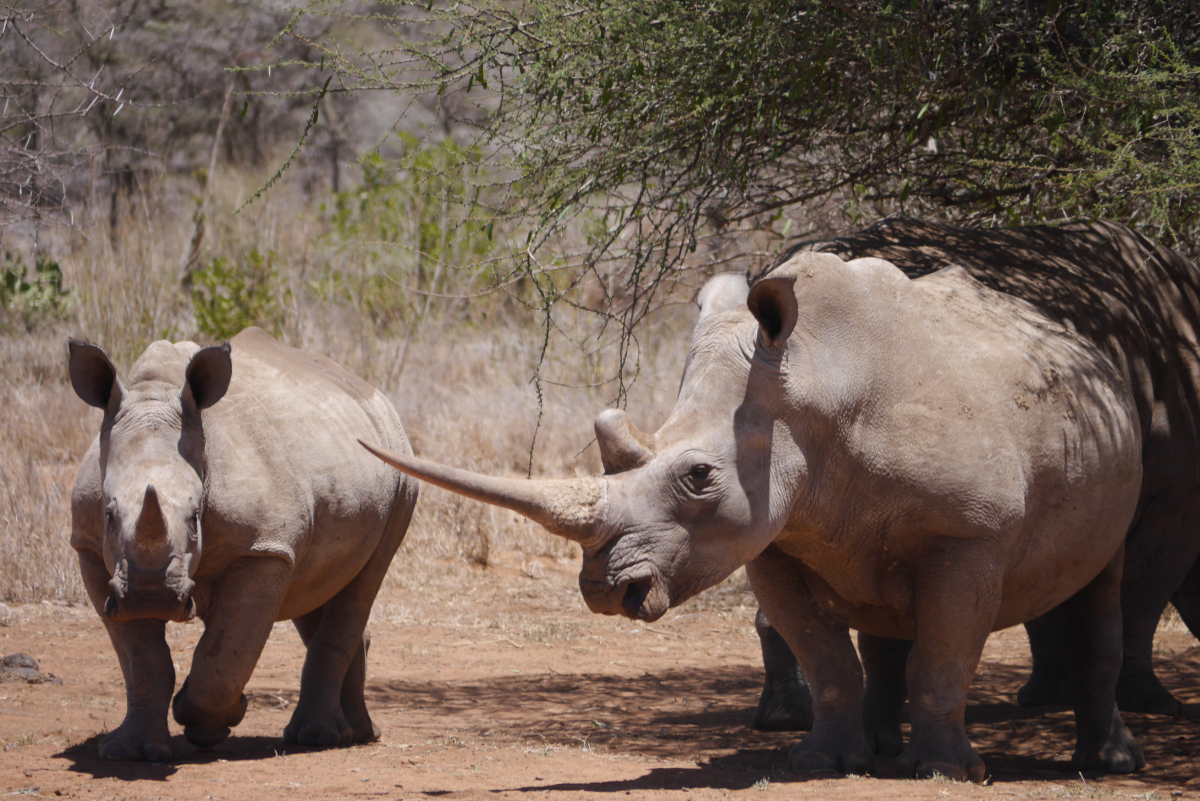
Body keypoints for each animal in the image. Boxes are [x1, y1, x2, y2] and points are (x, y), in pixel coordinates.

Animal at [69, 327, 417, 761]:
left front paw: (209, 722)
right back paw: (356, 732)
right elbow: (143, 662)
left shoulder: (262, 549)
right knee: (316, 585)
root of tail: (376, 397)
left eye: (195, 517)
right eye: (108, 516)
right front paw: (128, 752)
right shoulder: (90, 548)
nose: (150, 597)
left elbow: (226, 654)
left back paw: (320, 738)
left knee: (365, 580)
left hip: (402, 471)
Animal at [361, 248, 1147, 781]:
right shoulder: (773, 539)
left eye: (699, 476)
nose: (606, 592)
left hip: (1121, 438)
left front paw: (947, 773)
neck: (817, 388)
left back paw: (1109, 764)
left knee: (1104, 583)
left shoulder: (969, 532)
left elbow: (945, 652)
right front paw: (821, 762)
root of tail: (1081, 341)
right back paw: (881, 749)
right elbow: (824, 656)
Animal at [750, 218, 1200, 733]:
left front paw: (1046, 697)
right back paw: (793, 718)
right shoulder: (1172, 492)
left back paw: (786, 718)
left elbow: (1053, 587)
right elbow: (1144, 588)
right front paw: (1153, 704)